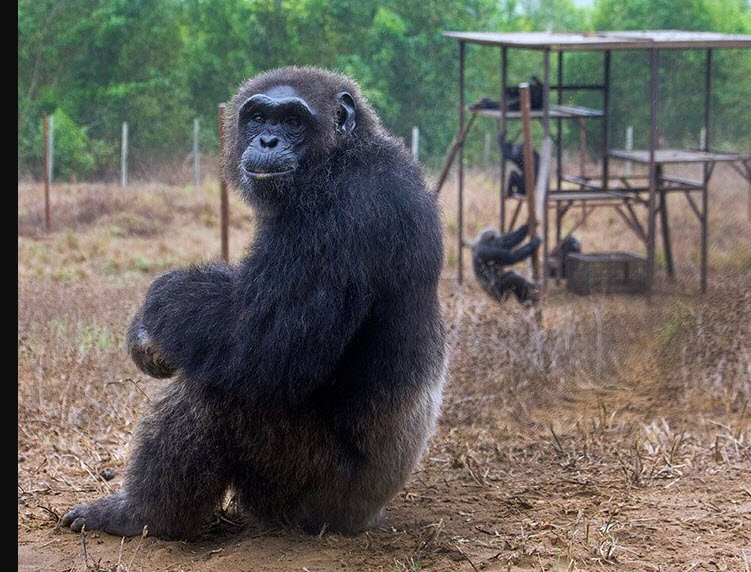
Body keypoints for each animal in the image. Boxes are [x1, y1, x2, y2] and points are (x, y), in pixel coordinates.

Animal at [62, 67, 447, 539]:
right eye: (259, 117)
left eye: (294, 121)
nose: (267, 140)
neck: (339, 158)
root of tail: (367, 518)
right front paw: (142, 332)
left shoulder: (342, 217)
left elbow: (262, 340)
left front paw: (158, 303)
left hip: (307, 491)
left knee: (217, 393)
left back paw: (142, 514)